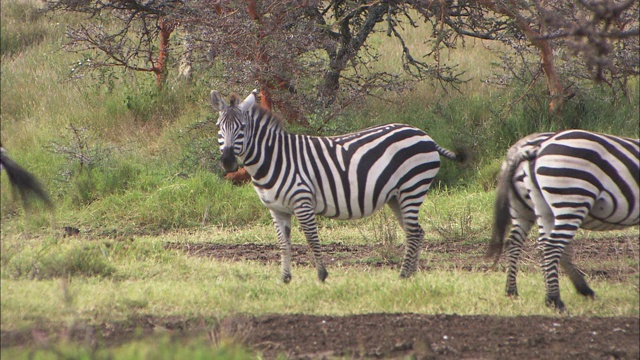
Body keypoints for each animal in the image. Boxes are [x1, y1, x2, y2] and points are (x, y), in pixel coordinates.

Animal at [210, 88, 464, 282]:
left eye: (242, 127)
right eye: (219, 127)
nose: (228, 161)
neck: (274, 158)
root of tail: (424, 135)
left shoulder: (303, 201)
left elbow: (312, 240)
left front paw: (322, 276)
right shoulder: (277, 209)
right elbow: (284, 244)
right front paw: (285, 279)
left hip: (413, 187)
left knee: (412, 233)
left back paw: (403, 276)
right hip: (397, 196)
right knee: (417, 232)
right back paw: (410, 276)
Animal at [488, 130, 636, 312]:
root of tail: (524, 148)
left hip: (529, 209)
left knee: (522, 243)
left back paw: (513, 292)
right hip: (571, 198)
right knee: (552, 246)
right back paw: (556, 300)